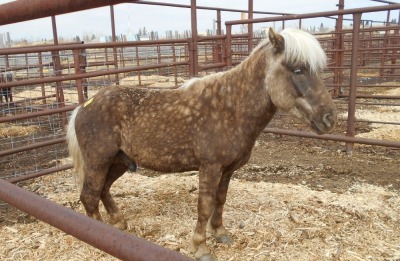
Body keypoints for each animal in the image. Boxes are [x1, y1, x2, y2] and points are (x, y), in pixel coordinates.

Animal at [66, 28, 338, 260]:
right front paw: (201, 247)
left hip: (118, 162)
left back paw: (118, 223)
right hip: (99, 161)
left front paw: (220, 233)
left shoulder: (227, 170)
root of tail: (83, 106)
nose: (329, 118)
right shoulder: (210, 167)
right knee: (90, 195)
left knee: (102, 190)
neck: (230, 107)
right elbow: (204, 206)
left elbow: (220, 200)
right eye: (298, 70)